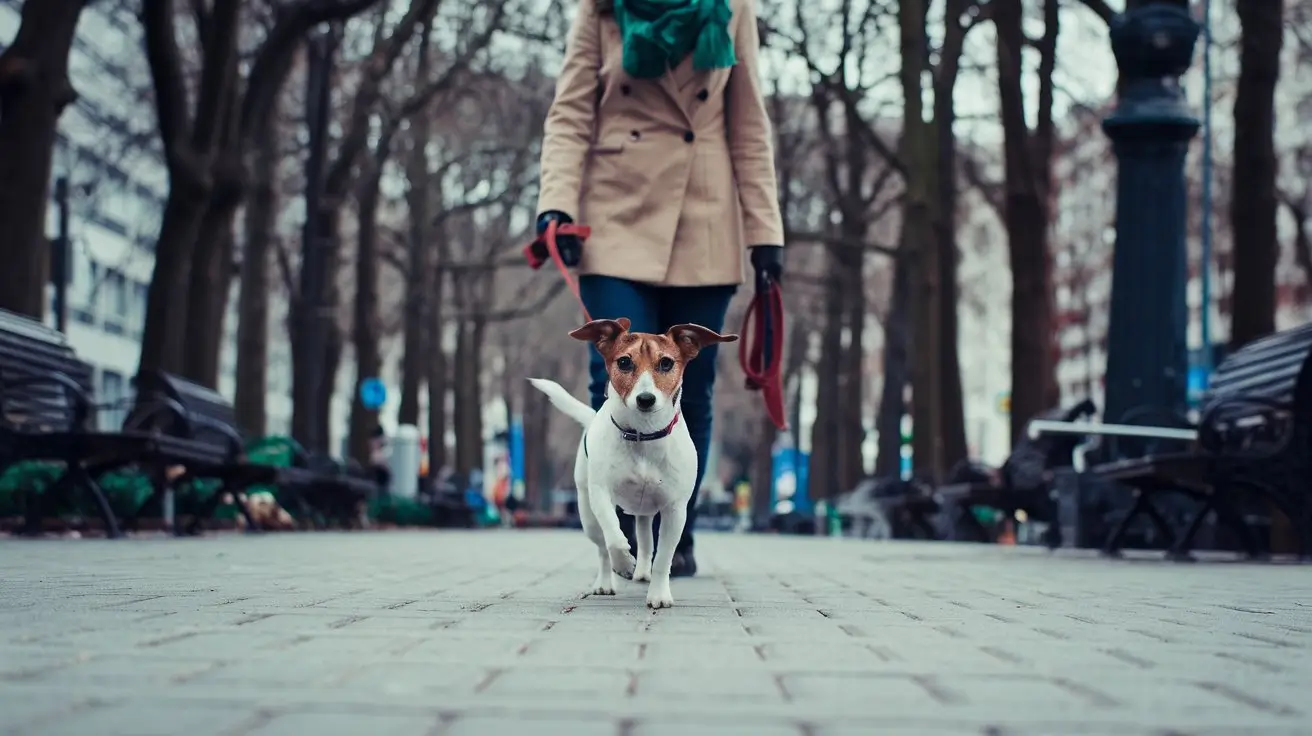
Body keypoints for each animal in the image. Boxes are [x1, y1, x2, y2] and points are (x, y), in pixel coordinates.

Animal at [530, 316, 739, 608]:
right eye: (624, 362)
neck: (643, 434)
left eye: (666, 363)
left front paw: (659, 594)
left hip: (646, 511)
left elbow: (663, 557)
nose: (645, 399)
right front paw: (623, 563)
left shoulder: (675, 510)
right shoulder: (601, 496)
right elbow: (614, 538)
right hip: (587, 513)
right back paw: (608, 581)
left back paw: (642, 572)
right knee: (602, 546)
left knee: (646, 541)